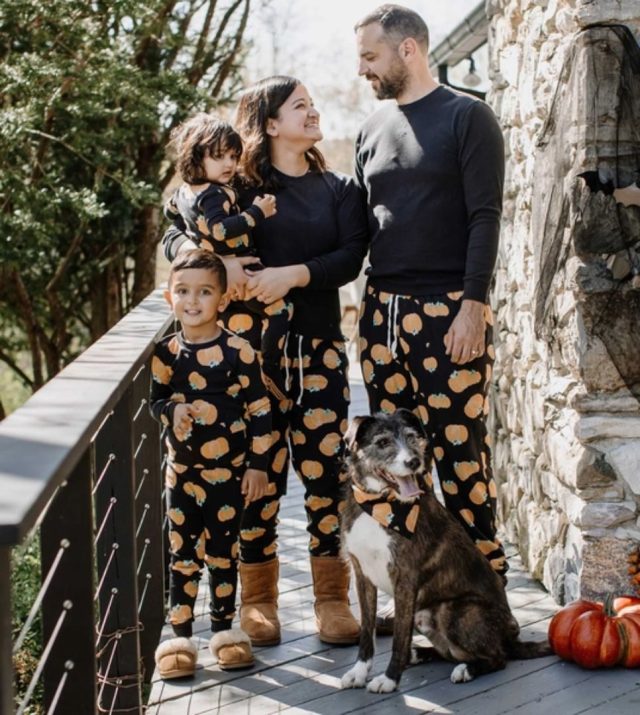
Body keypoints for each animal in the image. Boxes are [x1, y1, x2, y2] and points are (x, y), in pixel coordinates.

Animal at [340, 412, 552, 696]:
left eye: (411, 437)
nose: (414, 462)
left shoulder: (405, 579)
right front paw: (360, 672)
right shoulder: (362, 573)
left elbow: (399, 637)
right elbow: (366, 631)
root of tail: (510, 638)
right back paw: (418, 654)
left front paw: (389, 678)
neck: (379, 505)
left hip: (454, 611)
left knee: (498, 658)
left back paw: (466, 669)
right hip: (423, 614)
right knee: (450, 653)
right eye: (382, 442)